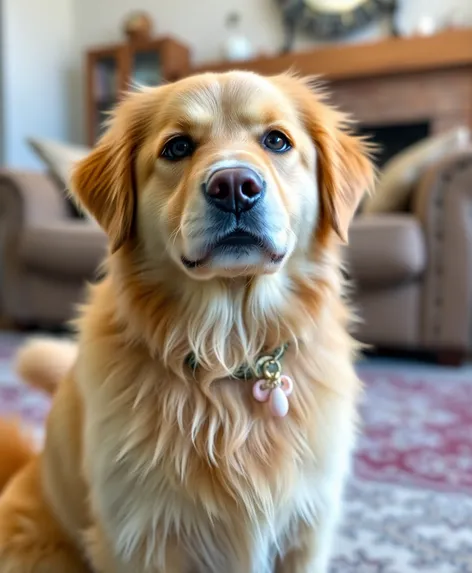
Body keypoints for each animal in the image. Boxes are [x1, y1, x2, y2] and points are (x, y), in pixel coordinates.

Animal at [0, 71, 374, 572]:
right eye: (177, 147)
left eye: (277, 140)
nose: (234, 185)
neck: (229, 354)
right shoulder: (140, 540)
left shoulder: (307, 534)